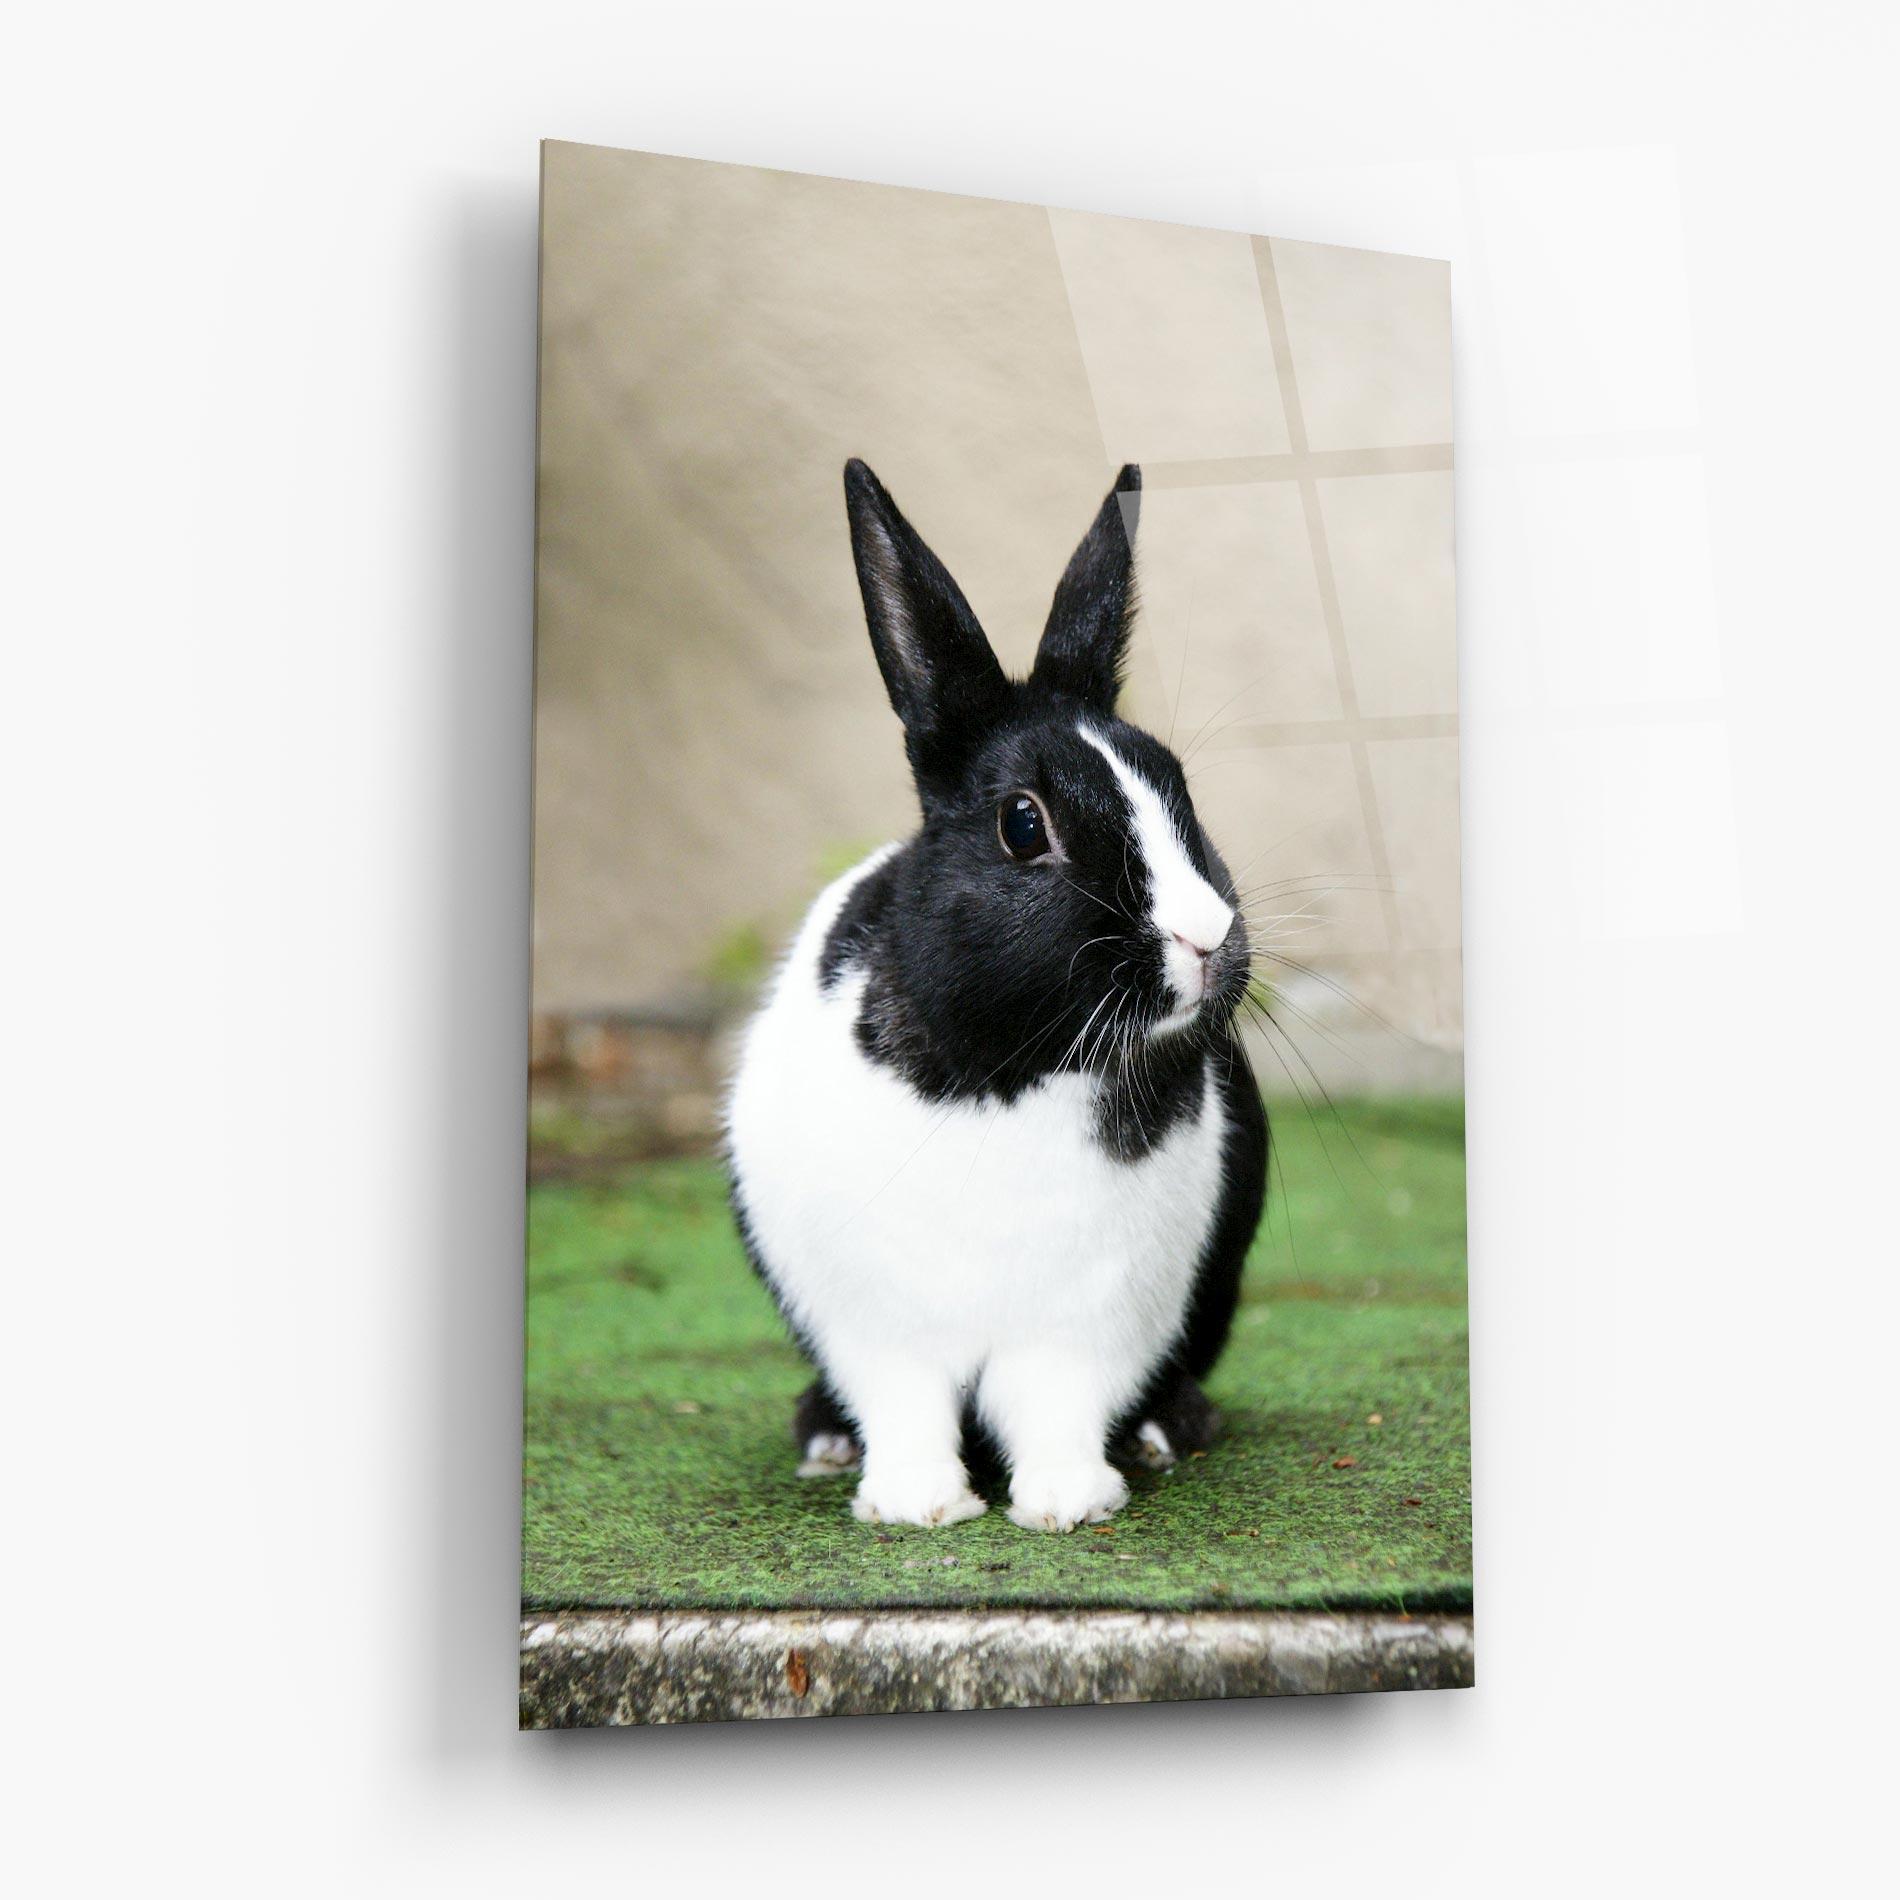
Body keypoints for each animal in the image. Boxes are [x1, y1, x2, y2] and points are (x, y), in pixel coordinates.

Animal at [725, 459, 1266, 1532]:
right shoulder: (877, 1323)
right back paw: (824, 1439)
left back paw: (1167, 1430)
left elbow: (1057, 1405)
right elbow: (905, 1406)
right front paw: (915, 1504)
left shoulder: (1088, 1320)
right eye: (1024, 824)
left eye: (1179, 787)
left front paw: (1067, 1502)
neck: (1014, 1070)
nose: (1207, 938)